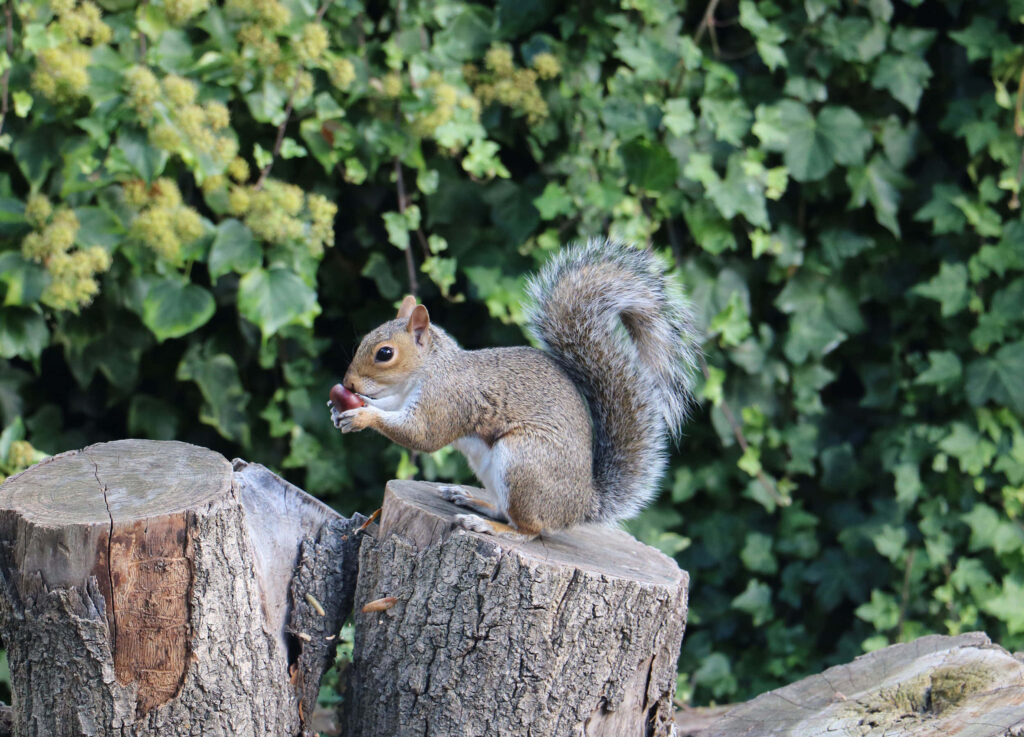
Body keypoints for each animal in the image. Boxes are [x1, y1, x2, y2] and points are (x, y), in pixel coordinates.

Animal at [329, 239, 700, 538]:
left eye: (385, 353)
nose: (348, 384)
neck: (429, 369)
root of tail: (580, 506)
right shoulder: (403, 397)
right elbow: (391, 408)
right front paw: (344, 407)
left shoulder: (448, 399)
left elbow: (423, 436)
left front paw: (362, 417)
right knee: (505, 510)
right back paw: (473, 501)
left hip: (523, 461)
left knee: (529, 530)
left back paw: (487, 526)